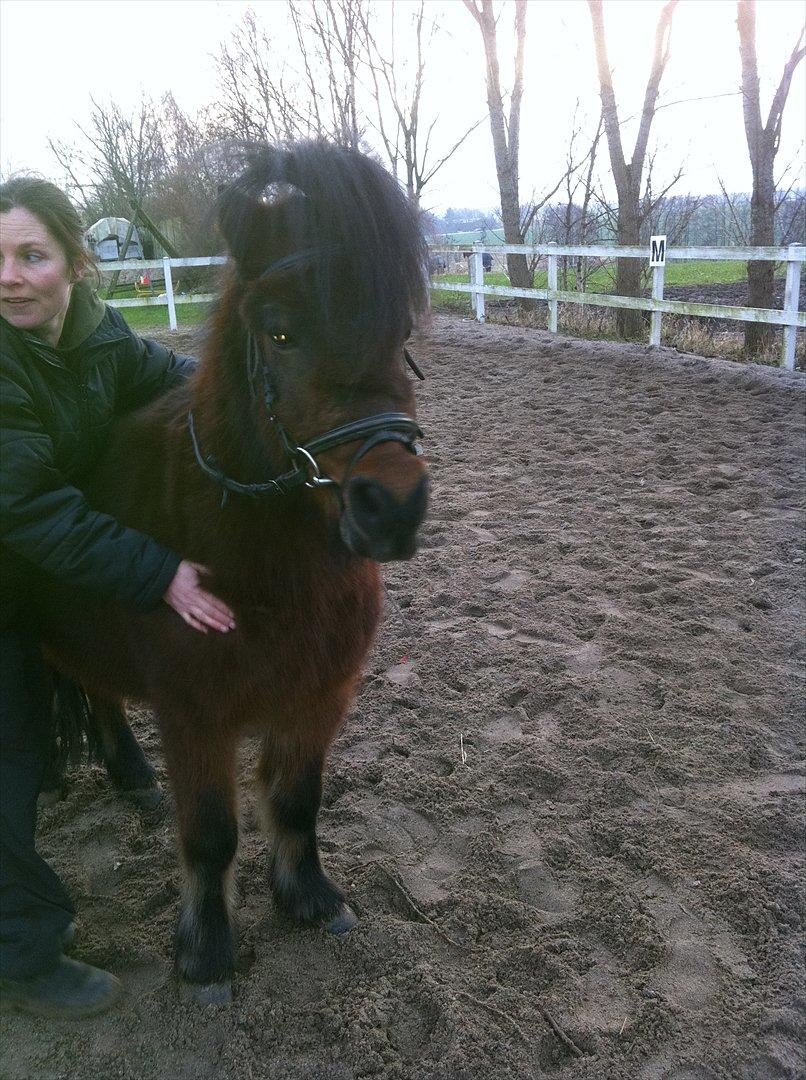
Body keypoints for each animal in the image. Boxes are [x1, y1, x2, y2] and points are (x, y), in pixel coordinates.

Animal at [35, 143, 430, 1002]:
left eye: (400, 328)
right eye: (279, 332)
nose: (392, 507)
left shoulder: (319, 695)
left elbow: (298, 801)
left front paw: (310, 898)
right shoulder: (196, 716)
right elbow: (211, 835)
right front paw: (207, 955)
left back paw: (132, 778)